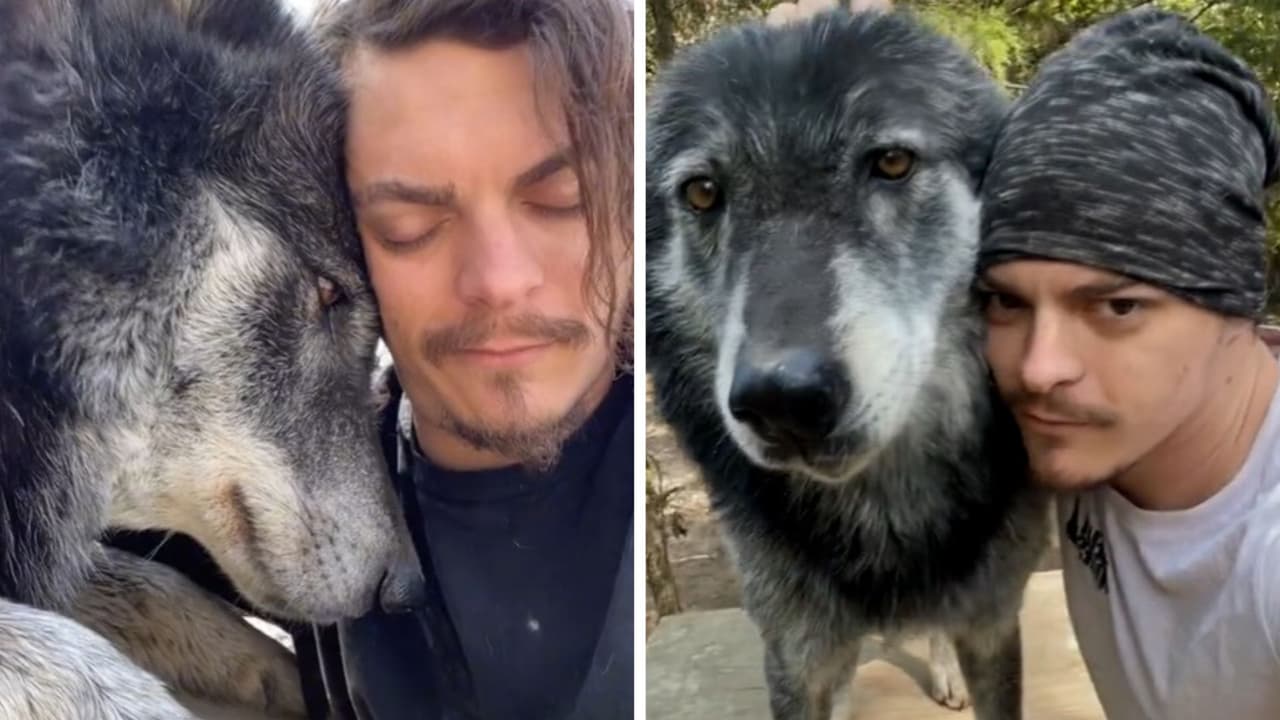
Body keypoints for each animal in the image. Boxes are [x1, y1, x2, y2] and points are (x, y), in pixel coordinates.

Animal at [646, 7, 1050, 720]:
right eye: (701, 194)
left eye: (891, 161)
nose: (781, 400)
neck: (883, 518)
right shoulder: (796, 655)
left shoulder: (993, 622)